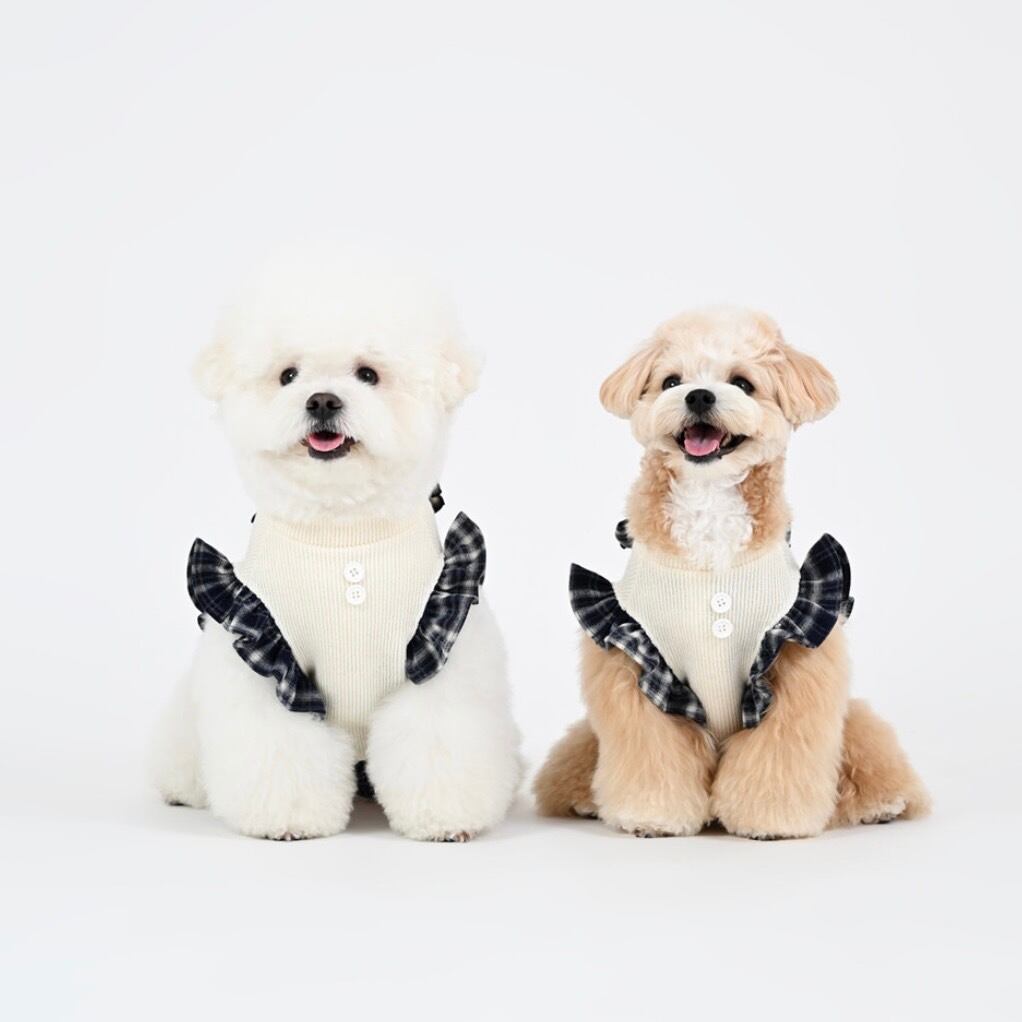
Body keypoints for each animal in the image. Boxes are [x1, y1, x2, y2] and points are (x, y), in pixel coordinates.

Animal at [149, 259, 521, 841]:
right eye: (288, 376)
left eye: (368, 374)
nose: (322, 400)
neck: (345, 534)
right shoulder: (267, 654)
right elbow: (281, 744)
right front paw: (289, 818)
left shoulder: (438, 649)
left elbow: (438, 739)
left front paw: (443, 817)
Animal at [534, 307, 929, 838]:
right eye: (671, 381)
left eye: (742, 382)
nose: (699, 395)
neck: (709, 513)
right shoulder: (635, 653)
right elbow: (652, 752)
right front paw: (652, 815)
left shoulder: (793, 654)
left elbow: (779, 752)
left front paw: (772, 819)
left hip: (854, 719)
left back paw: (883, 801)